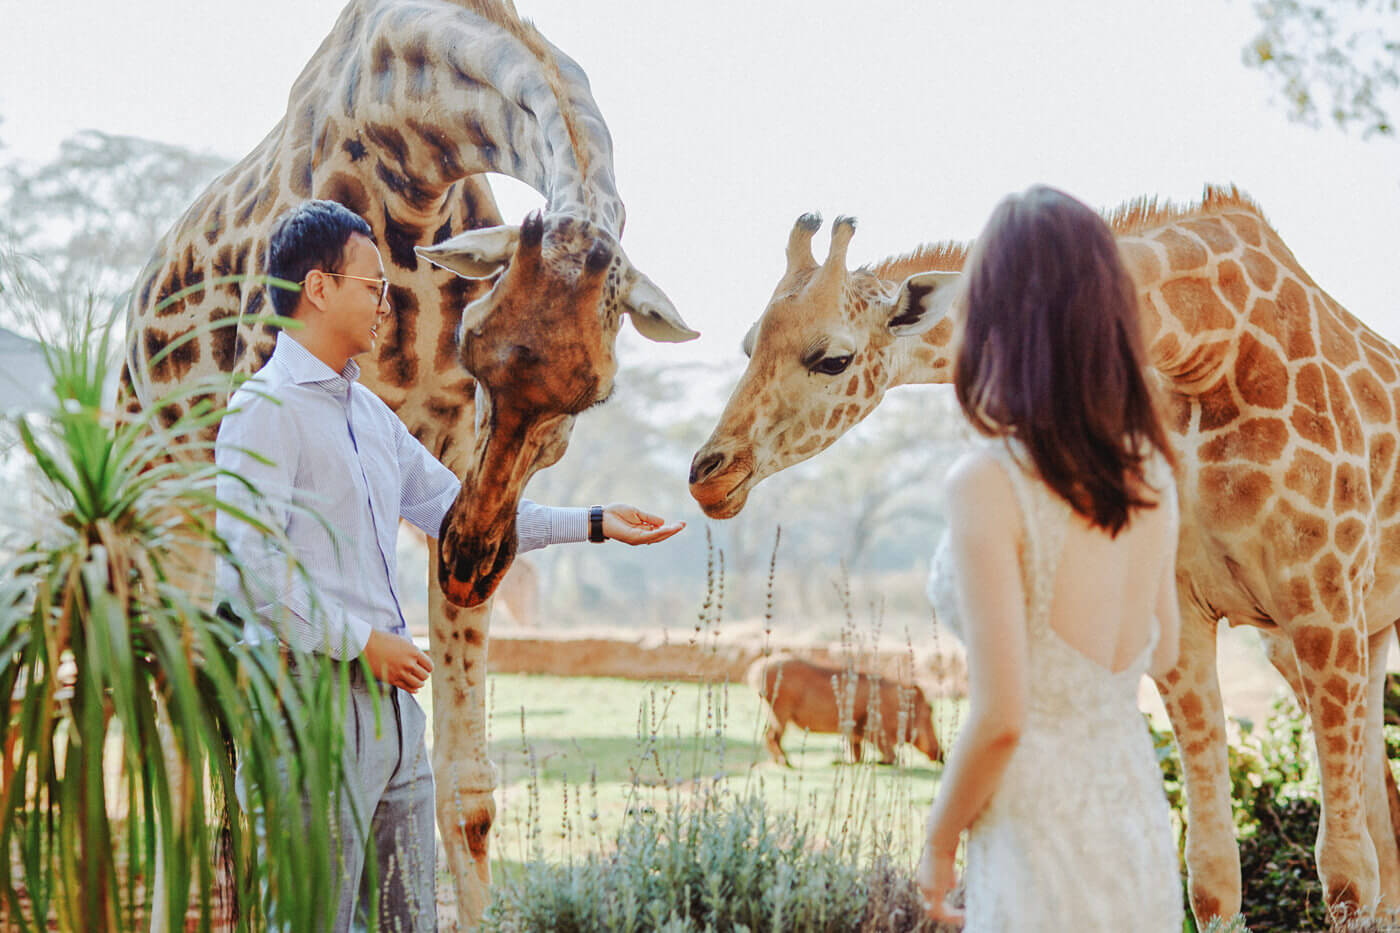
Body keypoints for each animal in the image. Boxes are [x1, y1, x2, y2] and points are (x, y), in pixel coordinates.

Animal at [120, 0, 694, 918]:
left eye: (593, 395)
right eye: (479, 347)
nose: (468, 563)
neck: (412, 155)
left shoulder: (446, 461)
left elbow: (466, 787)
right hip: (163, 488)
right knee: (180, 741)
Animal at [694, 189, 1400, 924]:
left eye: (831, 358)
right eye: (748, 343)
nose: (709, 474)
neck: (1204, 346)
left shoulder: (1321, 600)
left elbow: (1346, 873)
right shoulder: (1185, 612)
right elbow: (1210, 875)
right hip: (1342, 633)